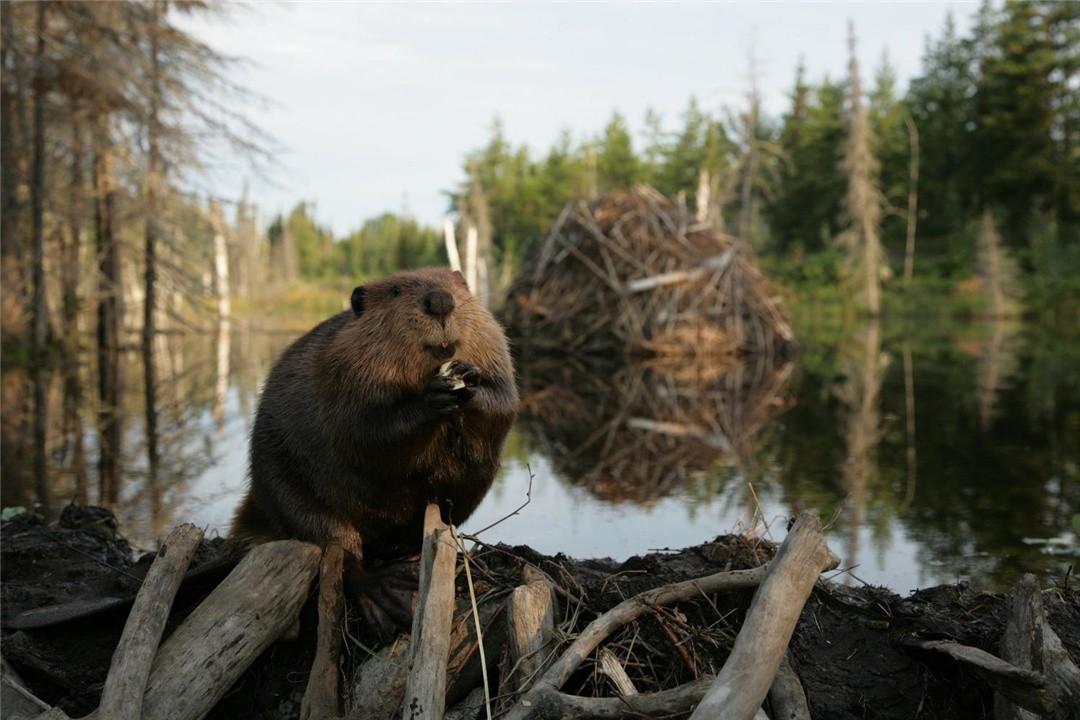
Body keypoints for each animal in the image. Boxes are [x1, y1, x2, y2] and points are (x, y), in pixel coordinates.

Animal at [231, 267, 514, 626]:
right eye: (395, 291)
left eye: (458, 284)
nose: (440, 301)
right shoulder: (344, 370)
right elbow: (368, 431)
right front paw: (432, 396)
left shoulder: (493, 345)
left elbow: (503, 402)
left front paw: (469, 382)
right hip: (290, 494)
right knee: (338, 553)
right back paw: (388, 593)